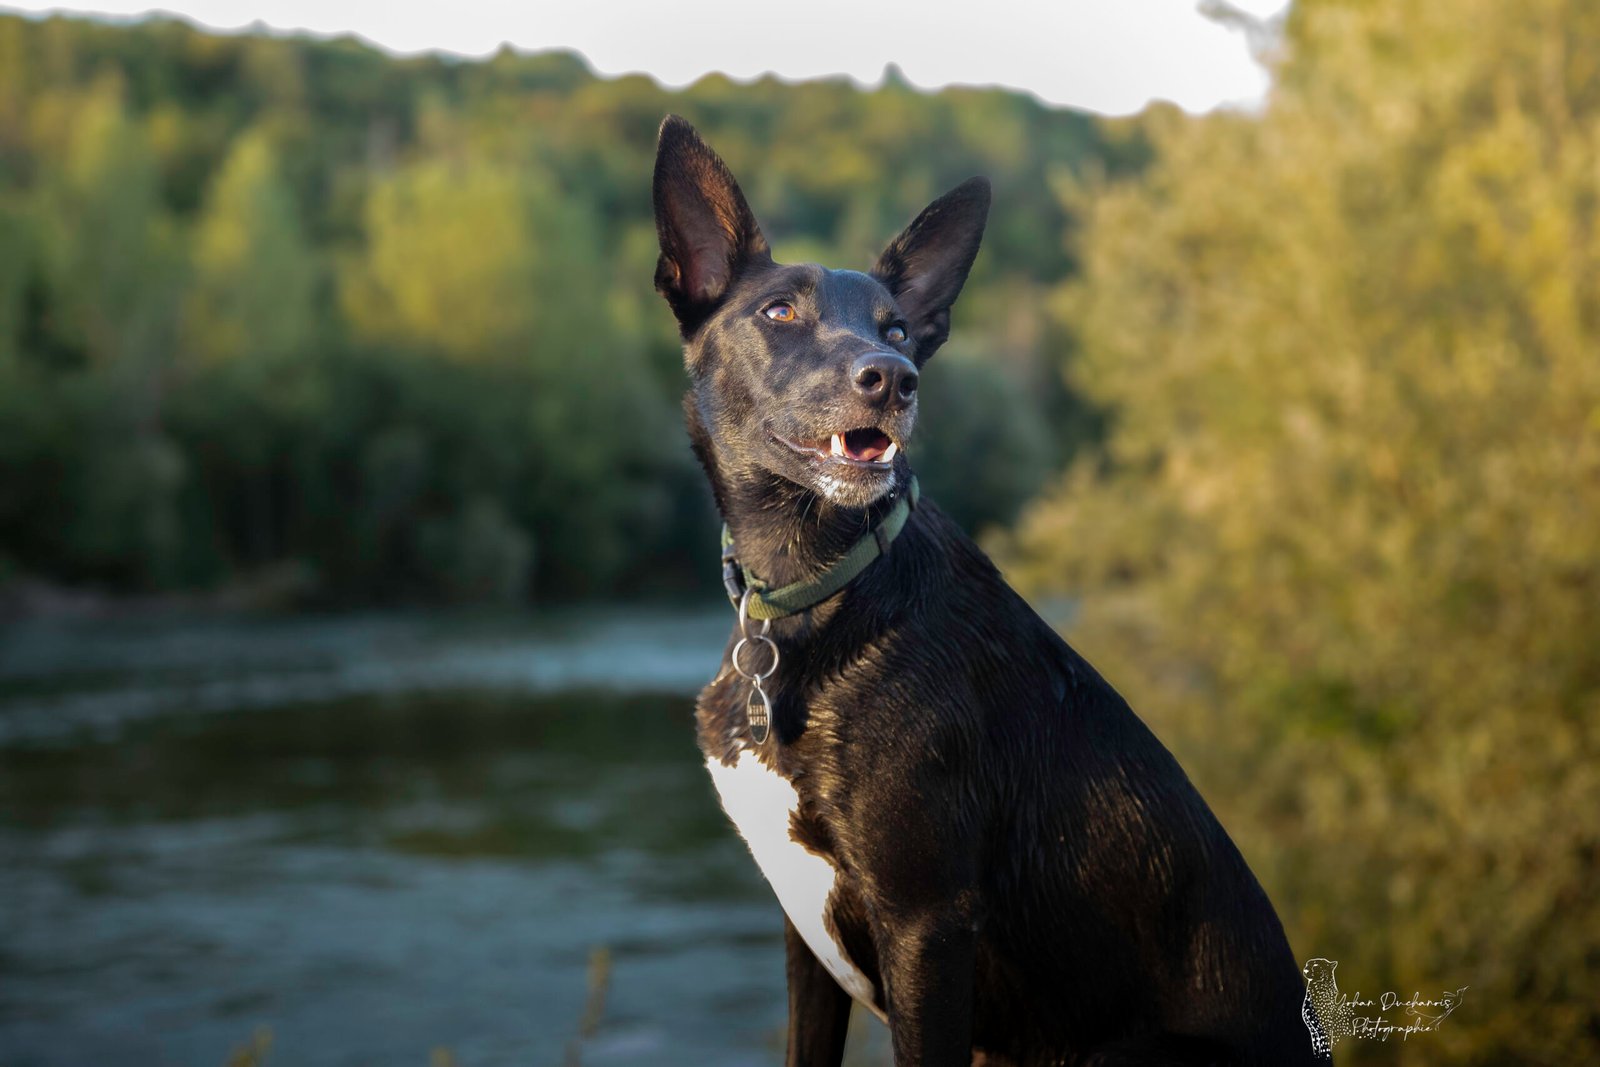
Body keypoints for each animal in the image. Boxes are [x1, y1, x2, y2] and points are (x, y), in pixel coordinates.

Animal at [652, 115, 1319, 1067]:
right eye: (779, 312)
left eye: (898, 330)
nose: (891, 379)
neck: (816, 590)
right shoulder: (804, 933)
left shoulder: (926, 924)